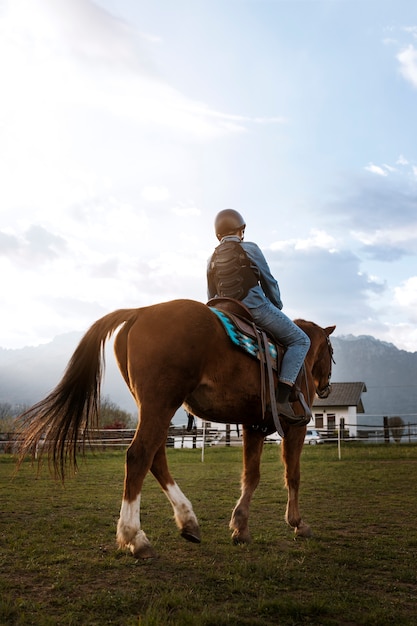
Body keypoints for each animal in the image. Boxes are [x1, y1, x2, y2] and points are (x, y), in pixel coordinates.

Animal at [17, 298, 334, 556]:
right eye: (331, 352)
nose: (325, 388)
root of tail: (140, 312)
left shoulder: (252, 426)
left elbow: (251, 476)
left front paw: (240, 528)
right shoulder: (296, 427)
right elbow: (292, 474)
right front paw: (298, 523)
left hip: (154, 407)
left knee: (155, 457)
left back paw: (187, 521)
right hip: (161, 404)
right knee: (139, 455)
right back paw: (136, 538)